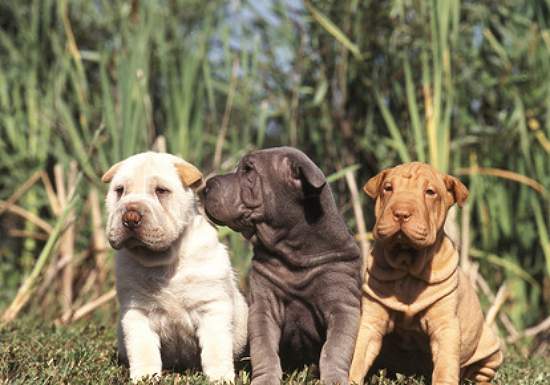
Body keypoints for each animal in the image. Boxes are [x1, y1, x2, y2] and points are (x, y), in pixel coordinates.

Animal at [102, 151, 249, 380]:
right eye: (120, 191)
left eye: (161, 191)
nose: (130, 217)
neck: (163, 261)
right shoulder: (137, 313)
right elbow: (143, 350)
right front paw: (145, 378)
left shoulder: (211, 308)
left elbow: (215, 350)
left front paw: (220, 378)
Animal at [203, 146, 362, 382]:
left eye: (248, 170)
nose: (205, 186)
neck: (293, 252)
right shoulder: (263, 307)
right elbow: (264, 349)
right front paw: (265, 379)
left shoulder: (343, 306)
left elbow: (334, 349)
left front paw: (334, 378)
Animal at [354, 163, 504, 384]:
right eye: (388, 188)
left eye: (430, 192)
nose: (401, 213)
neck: (407, 265)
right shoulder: (370, 322)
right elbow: (355, 356)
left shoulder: (446, 327)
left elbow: (445, 368)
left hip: (490, 348)